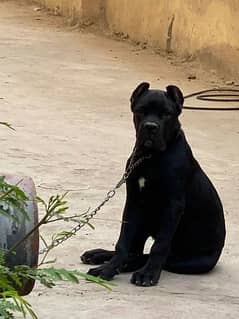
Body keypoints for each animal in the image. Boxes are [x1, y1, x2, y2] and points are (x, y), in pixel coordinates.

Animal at [81, 82, 226, 288]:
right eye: (141, 111)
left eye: (166, 114)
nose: (150, 127)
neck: (150, 157)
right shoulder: (134, 201)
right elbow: (123, 241)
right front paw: (109, 269)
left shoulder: (173, 206)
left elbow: (160, 245)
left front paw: (147, 274)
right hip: (142, 220)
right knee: (134, 250)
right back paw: (100, 256)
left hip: (190, 261)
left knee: (149, 255)